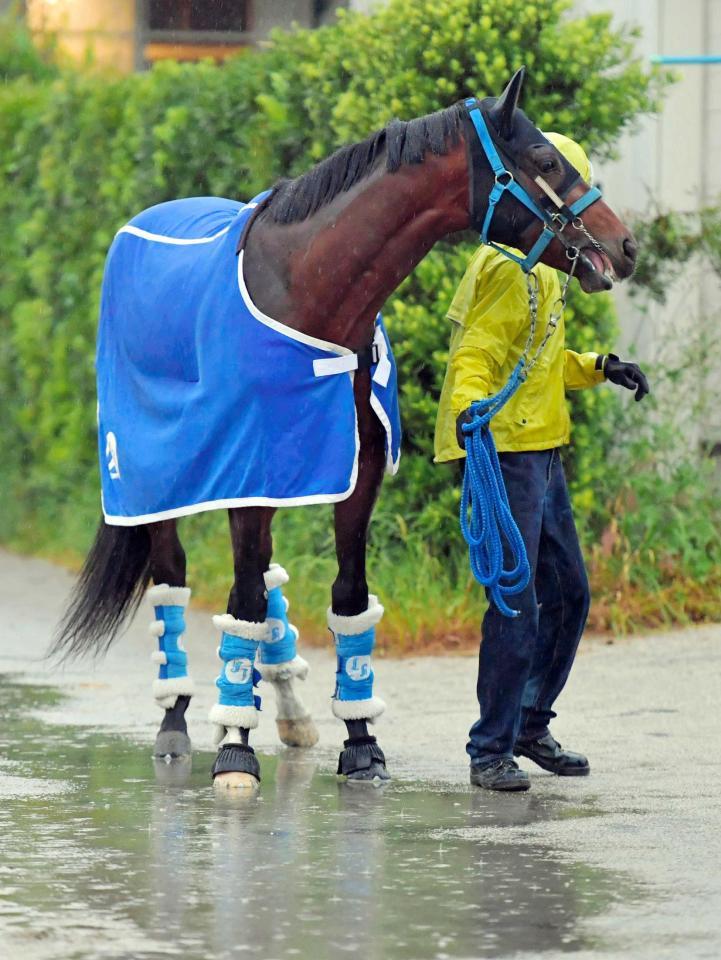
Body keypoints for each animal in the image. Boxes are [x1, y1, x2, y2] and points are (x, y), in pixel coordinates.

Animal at [52, 65, 636, 788]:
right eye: (545, 160)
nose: (624, 246)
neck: (307, 295)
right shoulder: (250, 482)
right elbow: (242, 604)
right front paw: (236, 752)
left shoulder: (352, 476)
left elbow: (347, 598)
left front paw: (359, 742)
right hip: (160, 480)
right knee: (174, 584)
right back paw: (179, 722)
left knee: (267, 586)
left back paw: (288, 713)